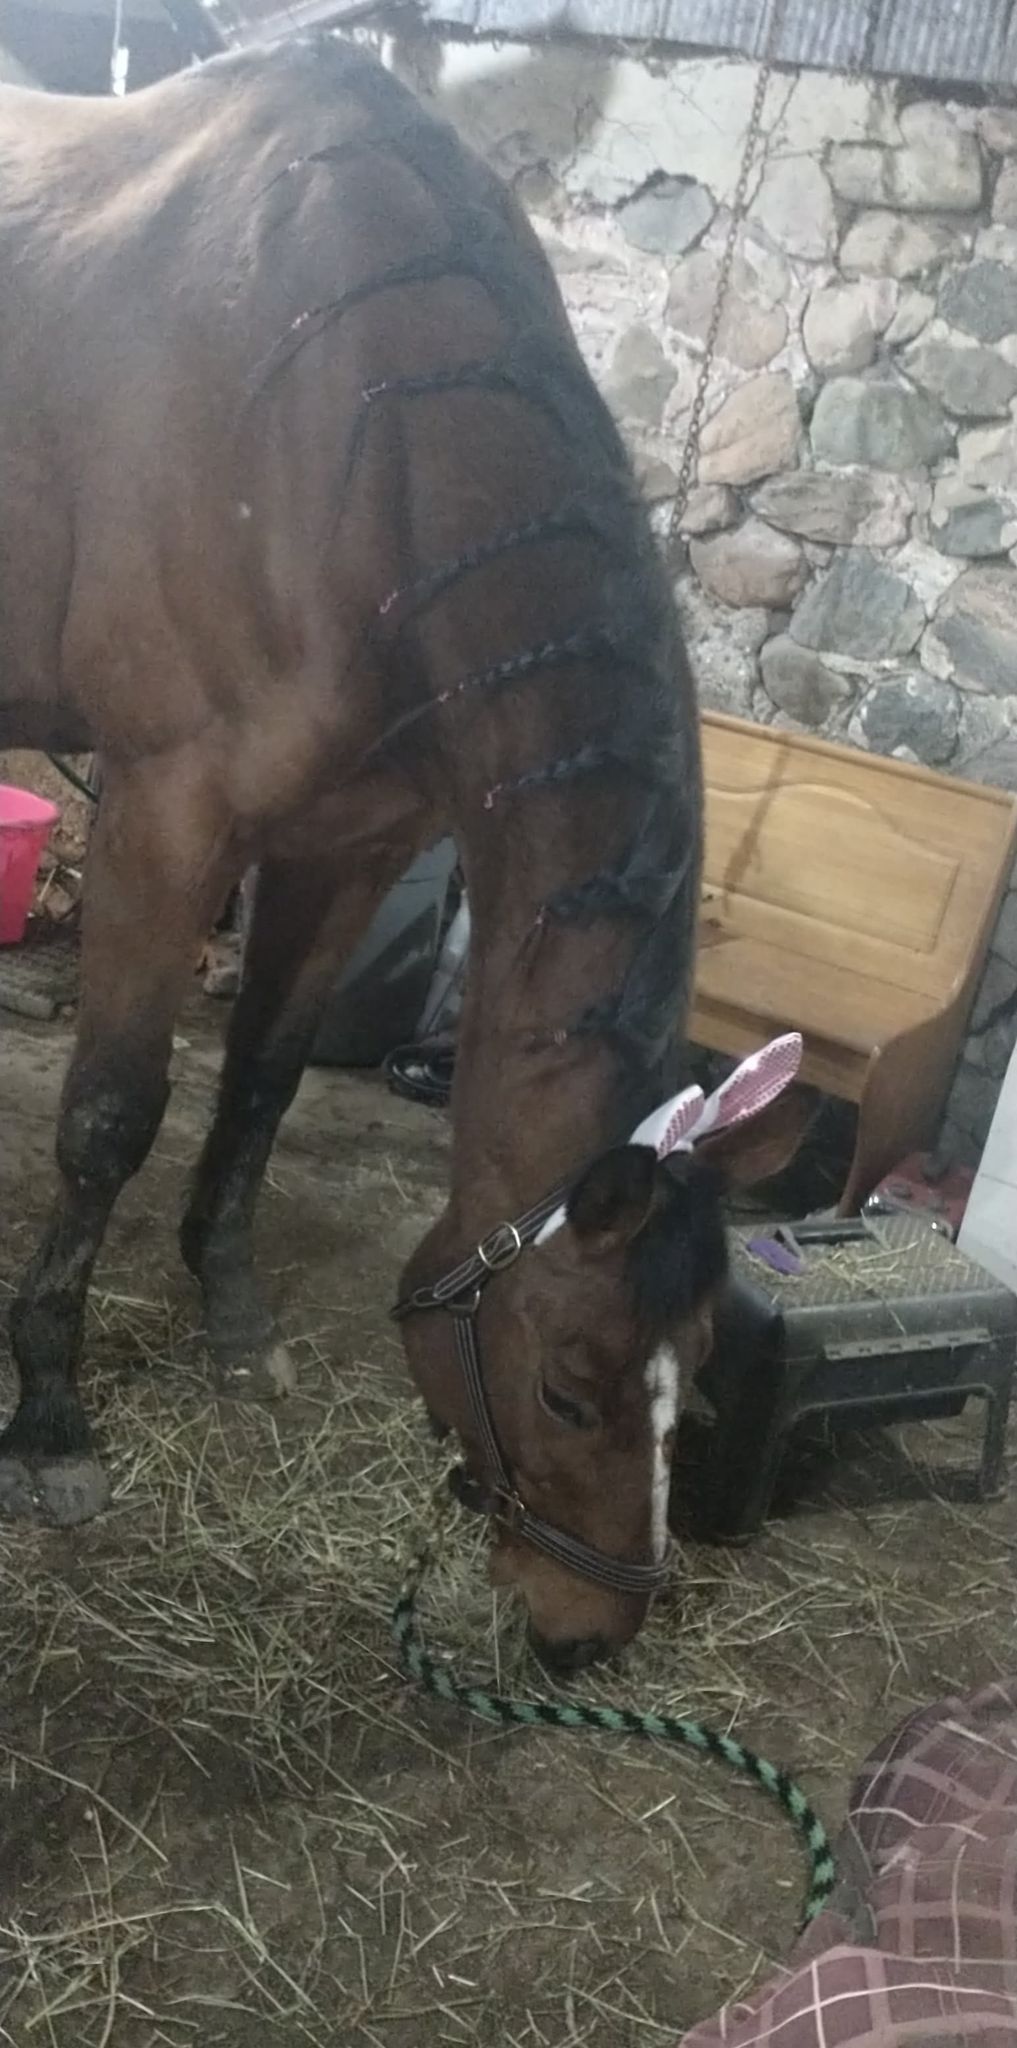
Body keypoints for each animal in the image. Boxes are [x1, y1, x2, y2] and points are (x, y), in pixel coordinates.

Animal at [0, 36, 807, 1670]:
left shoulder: (353, 842)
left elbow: (260, 1078)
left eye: (693, 1368)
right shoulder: (163, 817)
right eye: (566, 1383)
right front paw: (48, 1414)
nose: (587, 1632)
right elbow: (113, 1114)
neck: (339, 418)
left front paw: (232, 1319)